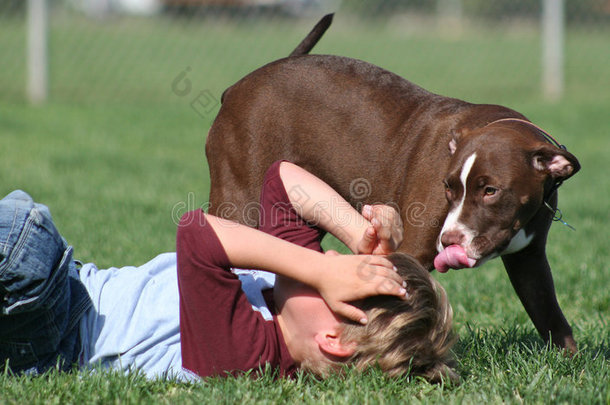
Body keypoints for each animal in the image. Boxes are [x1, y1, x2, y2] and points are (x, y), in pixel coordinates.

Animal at [205, 14, 580, 352]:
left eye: (491, 191)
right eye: (448, 187)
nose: (450, 240)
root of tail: (236, 88)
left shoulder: (530, 261)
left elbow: (553, 319)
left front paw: (570, 364)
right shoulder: (411, 251)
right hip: (239, 202)